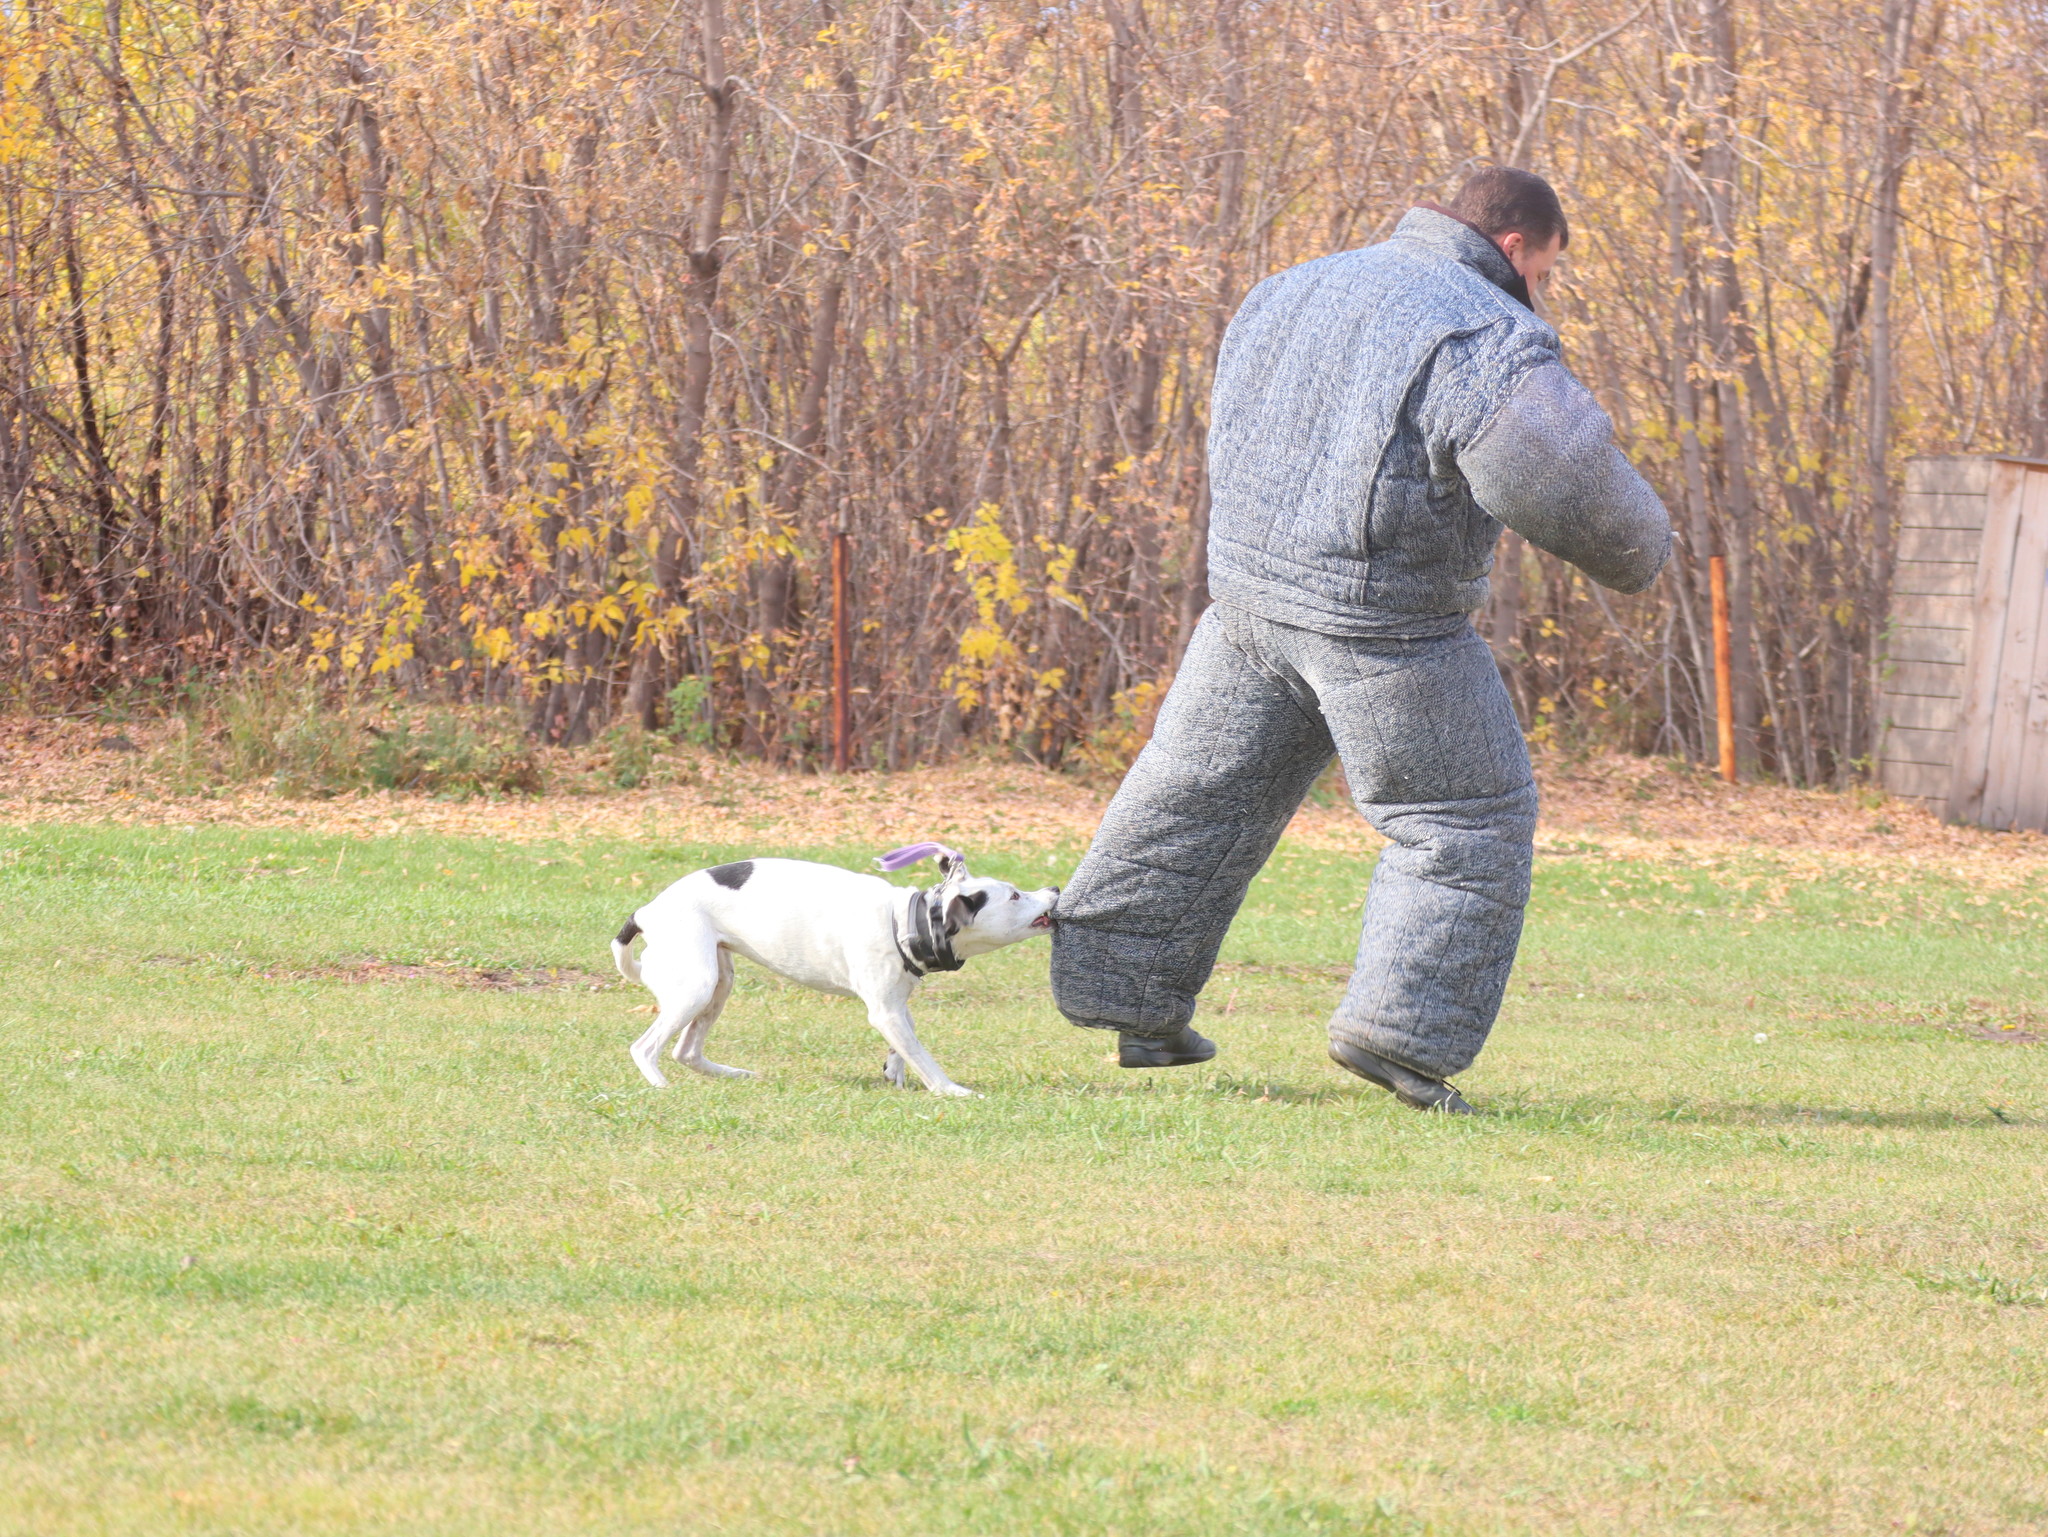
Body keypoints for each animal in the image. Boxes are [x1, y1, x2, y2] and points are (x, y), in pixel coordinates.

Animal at [606, 848, 1056, 1098]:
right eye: (1015, 895)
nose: (1053, 890)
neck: (907, 921)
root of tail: (646, 912)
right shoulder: (885, 1012)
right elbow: (923, 1057)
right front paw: (951, 1090)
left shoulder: (895, 1006)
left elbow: (904, 1046)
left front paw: (895, 1073)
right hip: (695, 988)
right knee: (644, 1048)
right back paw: (660, 1084)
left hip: (718, 984)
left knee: (687, 1052)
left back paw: (733, 1074)